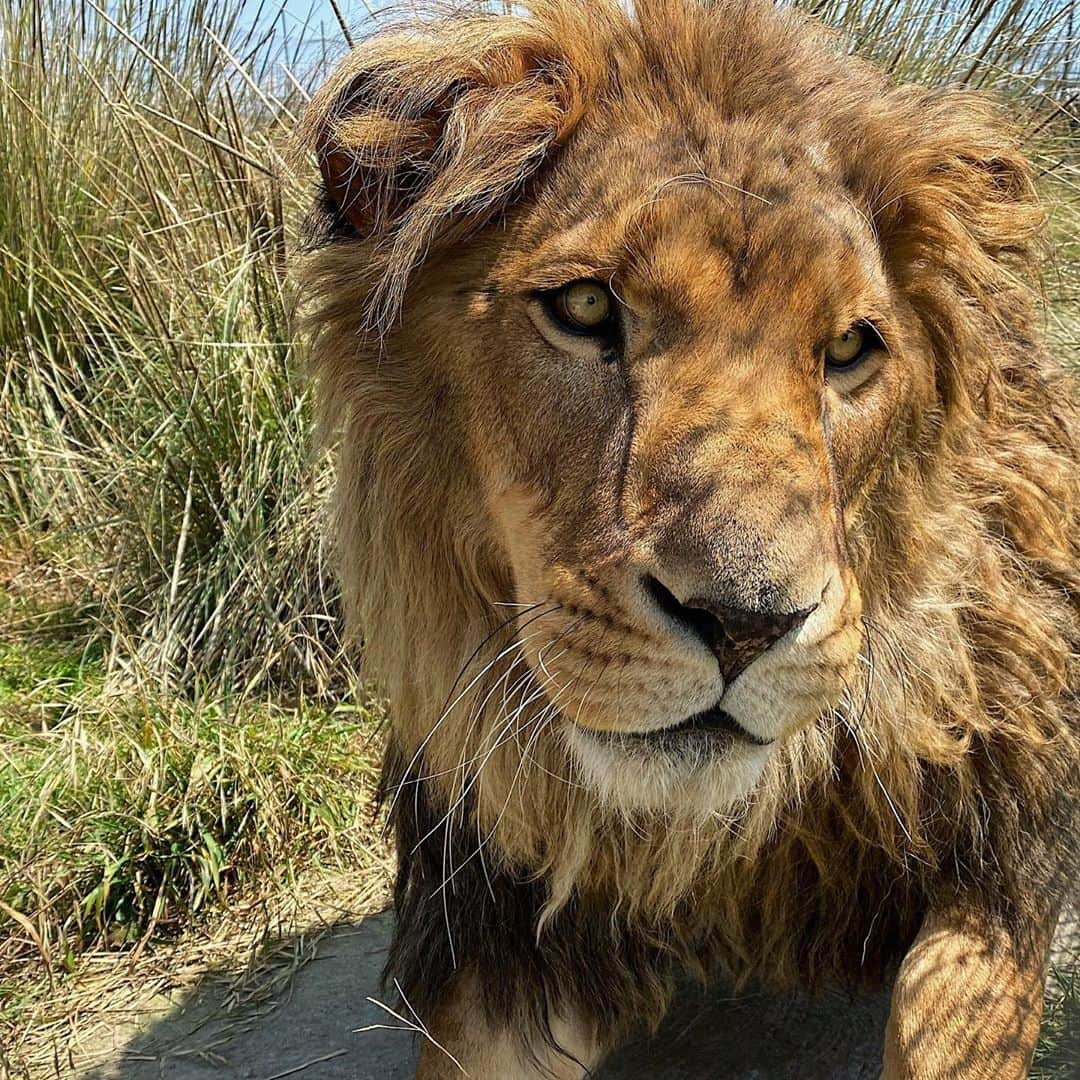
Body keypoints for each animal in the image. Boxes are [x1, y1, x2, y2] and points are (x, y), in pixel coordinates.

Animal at [291, 4, 1075, 1075]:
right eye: (584, 307)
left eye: (848, 349)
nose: (744, 625)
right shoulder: (506, 931)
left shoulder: (1000, 856)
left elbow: (939, 1018)